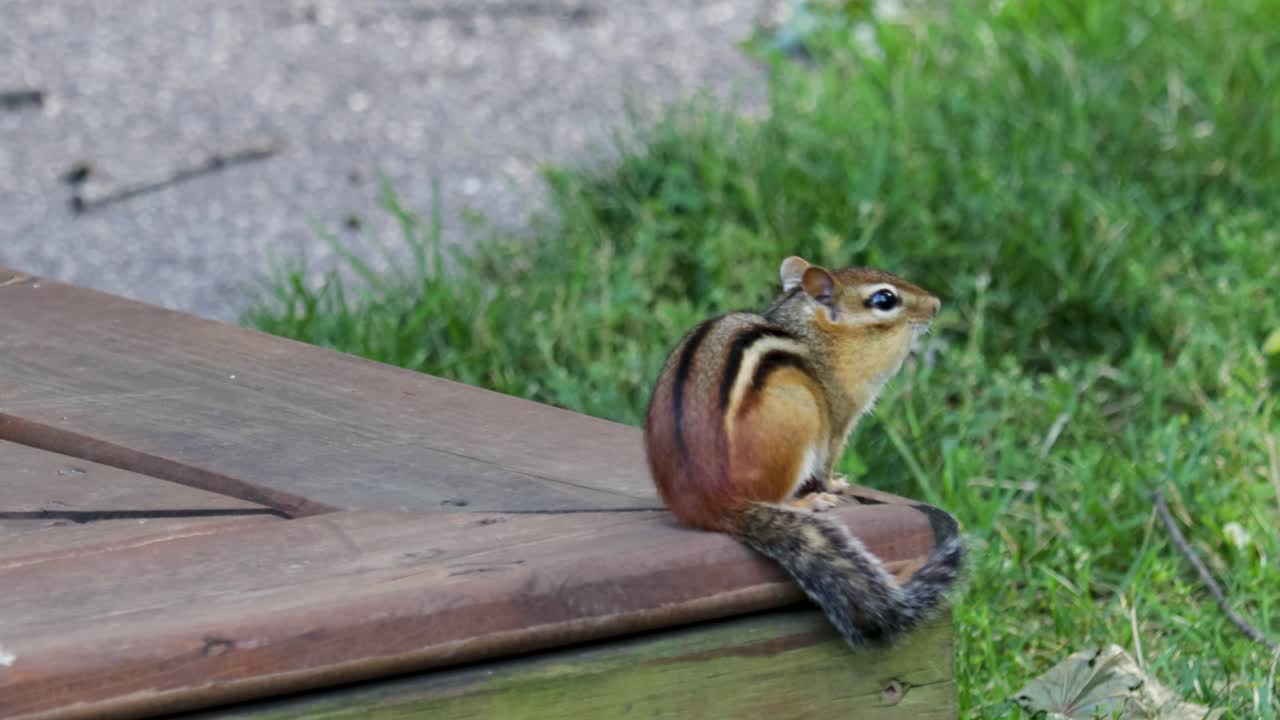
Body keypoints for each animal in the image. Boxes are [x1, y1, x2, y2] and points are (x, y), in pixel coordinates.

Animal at [642, 255, 963, 649]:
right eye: (885, 300)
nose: (936, 304)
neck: (817, 339)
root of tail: (711, 501)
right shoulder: (839, 418)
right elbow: (828, 462)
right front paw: (834, 484)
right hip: (800, 414)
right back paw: (807, 502)